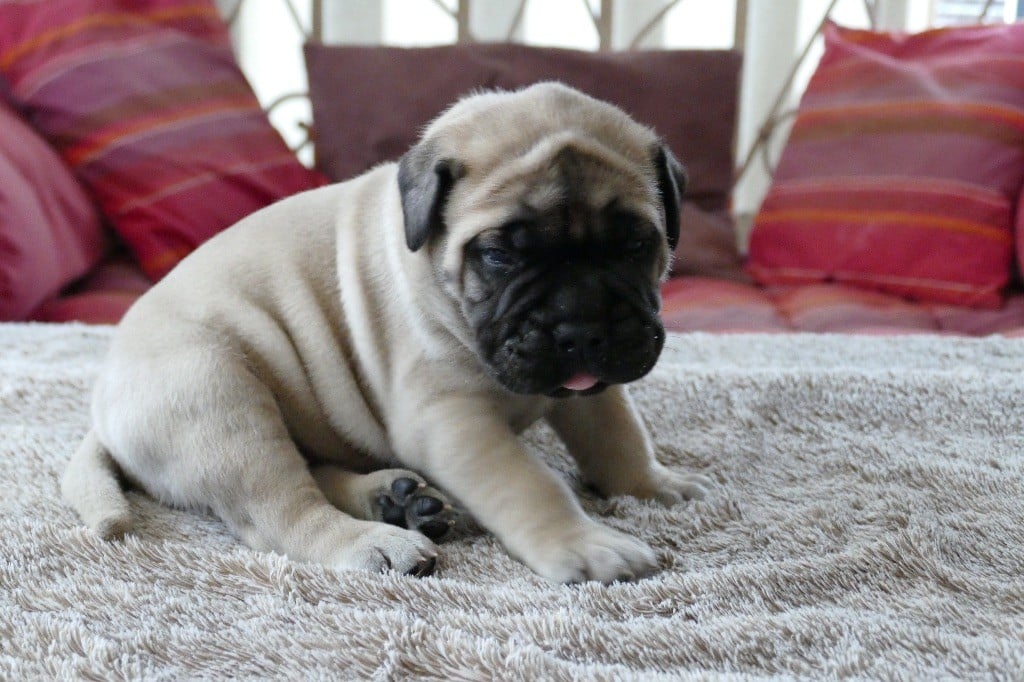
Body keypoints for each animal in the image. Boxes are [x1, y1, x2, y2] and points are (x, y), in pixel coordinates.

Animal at [62, 82, 712, 583]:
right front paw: (583, 544)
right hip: (218, 399)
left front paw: (650, 485)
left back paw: (397, 499)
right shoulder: (453, 422)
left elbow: (617, 432)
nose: (581, 326)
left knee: (312, 473)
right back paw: (375, 540)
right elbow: (529, 481)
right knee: (281, 510)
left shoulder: (591, 385)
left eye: (634, 245)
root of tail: (101, 413)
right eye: (499, 255)